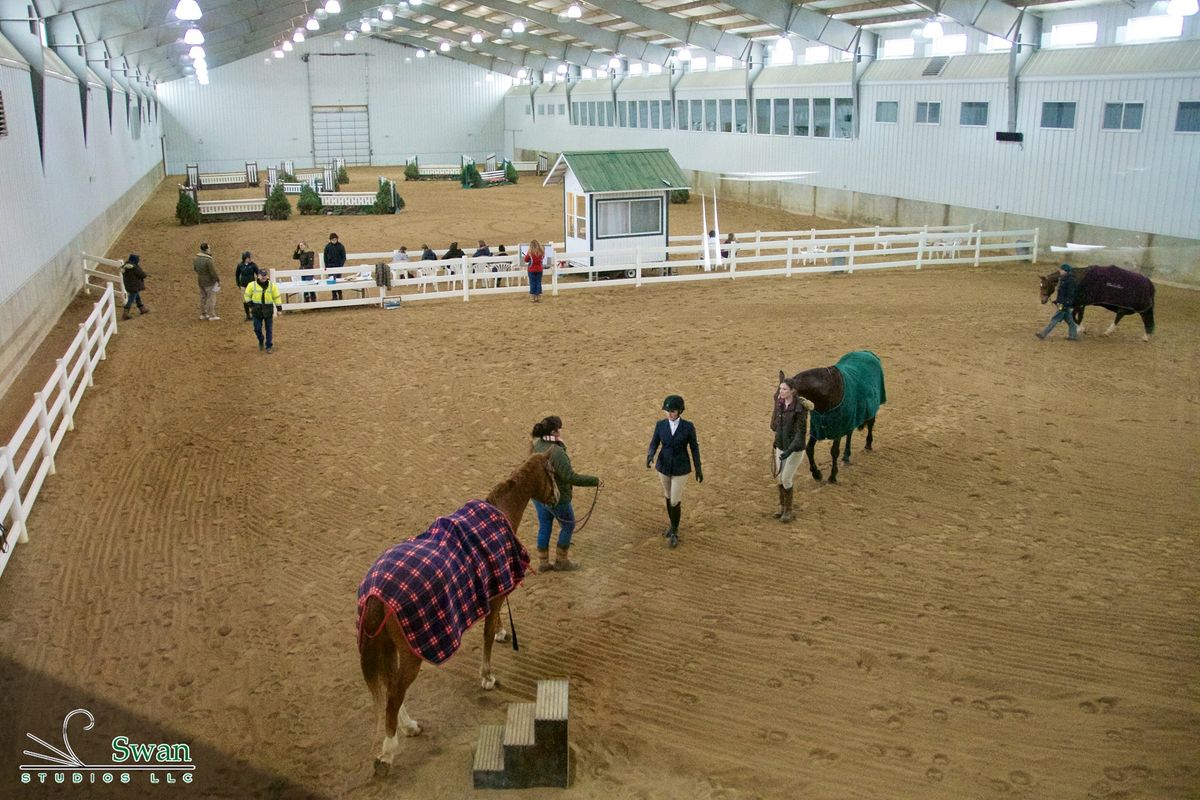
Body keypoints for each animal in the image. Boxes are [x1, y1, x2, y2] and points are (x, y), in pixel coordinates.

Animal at [357, 453, 559, 777]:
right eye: (552, 473)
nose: (557, 497)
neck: (499, 512)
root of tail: (376, 594)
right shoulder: (496, 595)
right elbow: (487, 636)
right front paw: (487, 676)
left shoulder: (493, 591)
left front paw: (502, 632)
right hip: (411, 655)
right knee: (394, 694)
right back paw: (387, 754)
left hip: (388, 648)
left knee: (390, 691)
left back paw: (409, 726)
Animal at [782, 352, 888, 489]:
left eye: (787, 395)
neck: (827, 391)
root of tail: (869, 353)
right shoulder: (818, 427)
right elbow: (810, 449)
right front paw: (817, 474)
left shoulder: (837, 427)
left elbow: (834, 451)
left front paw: (832, 477)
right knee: (850, 432)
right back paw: (846, 456)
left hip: (870, 407)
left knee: (870, 424)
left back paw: (868, 445)